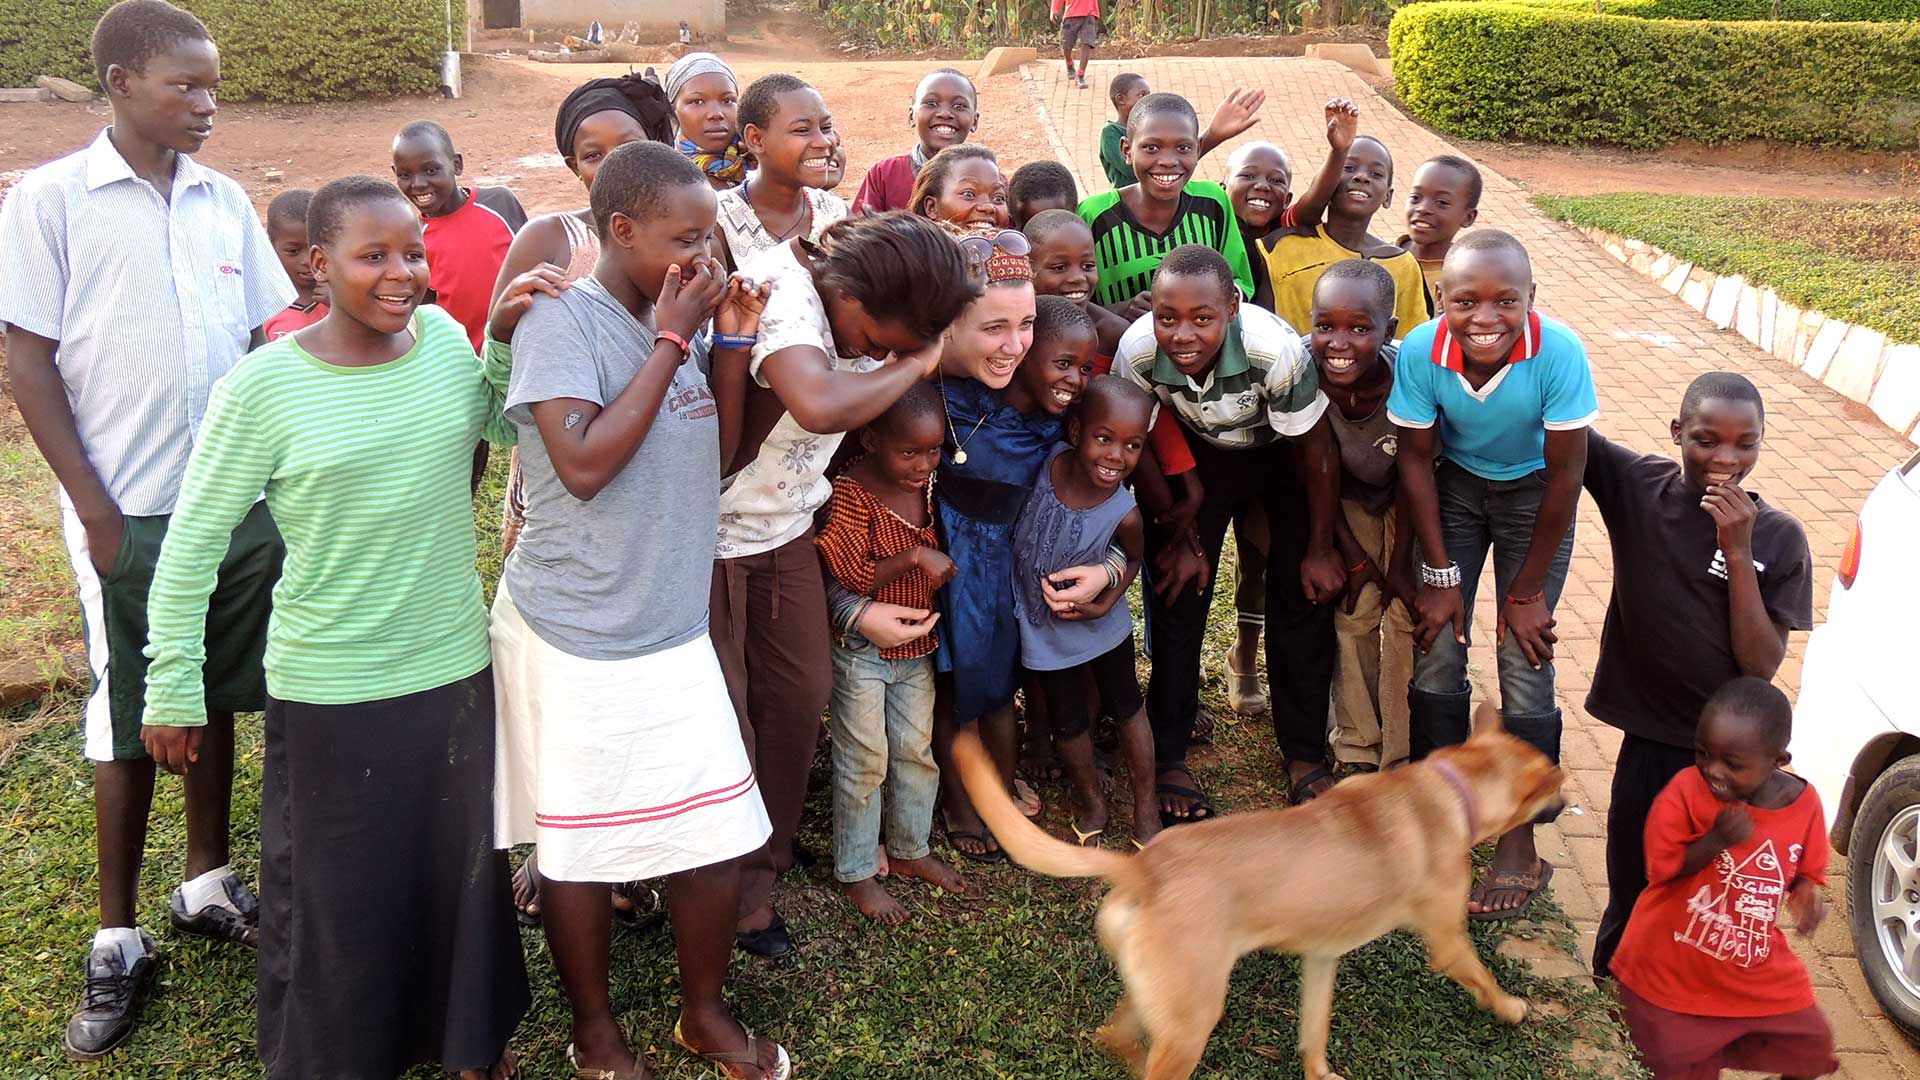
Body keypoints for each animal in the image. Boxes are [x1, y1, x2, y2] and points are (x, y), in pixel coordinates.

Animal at [952, 703, 1566, 1068]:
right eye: (1555, 784)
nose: (1564, 803)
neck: (1449, 785)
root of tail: (1143, 868)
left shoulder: (1322, 958)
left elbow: (1314, 1033)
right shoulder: (1448, 943)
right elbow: (1484, 979)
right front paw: (1513, 1009)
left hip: (1167, 996)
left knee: (1118, 1036)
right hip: (1192, 1022)